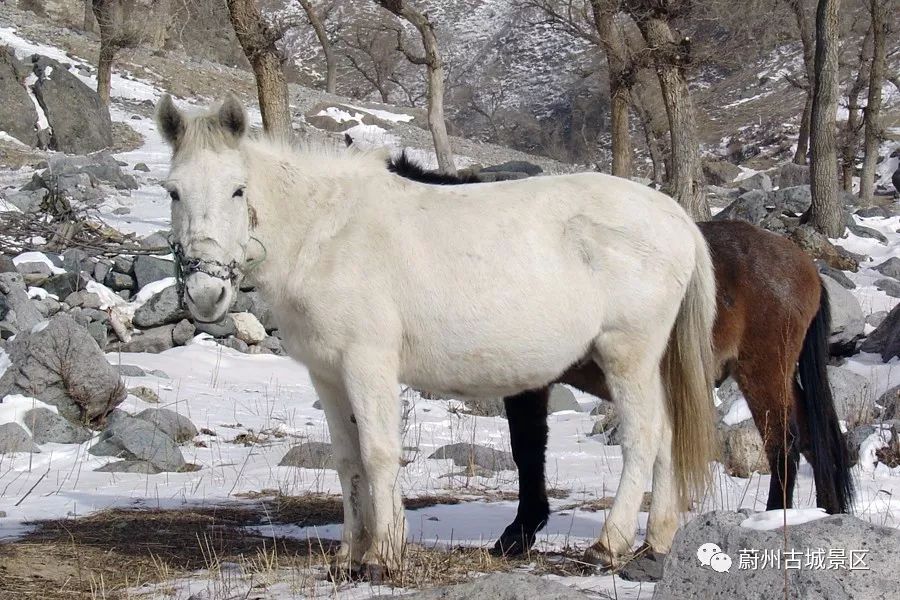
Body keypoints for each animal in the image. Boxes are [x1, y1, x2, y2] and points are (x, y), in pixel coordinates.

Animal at [155, 95, 716, 572]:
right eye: (174, 191)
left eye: (237, 189)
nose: (205, 293)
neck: (327, 233)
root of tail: (676, 218)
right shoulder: (328, 375)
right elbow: (347, 460)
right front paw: (348, 554)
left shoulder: (367, 364)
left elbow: (379, 454)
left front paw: (382, 556)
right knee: (667, 438)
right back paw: (655, 542)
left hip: (625, 356)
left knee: (644, 436)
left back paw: (608, 545)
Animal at [376, 150, 856, 556]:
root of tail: (804, 265)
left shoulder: (527, 382)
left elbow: (527, 448)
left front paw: (520, 532)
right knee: (813, 440)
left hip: (761, 372)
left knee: (783, 443)